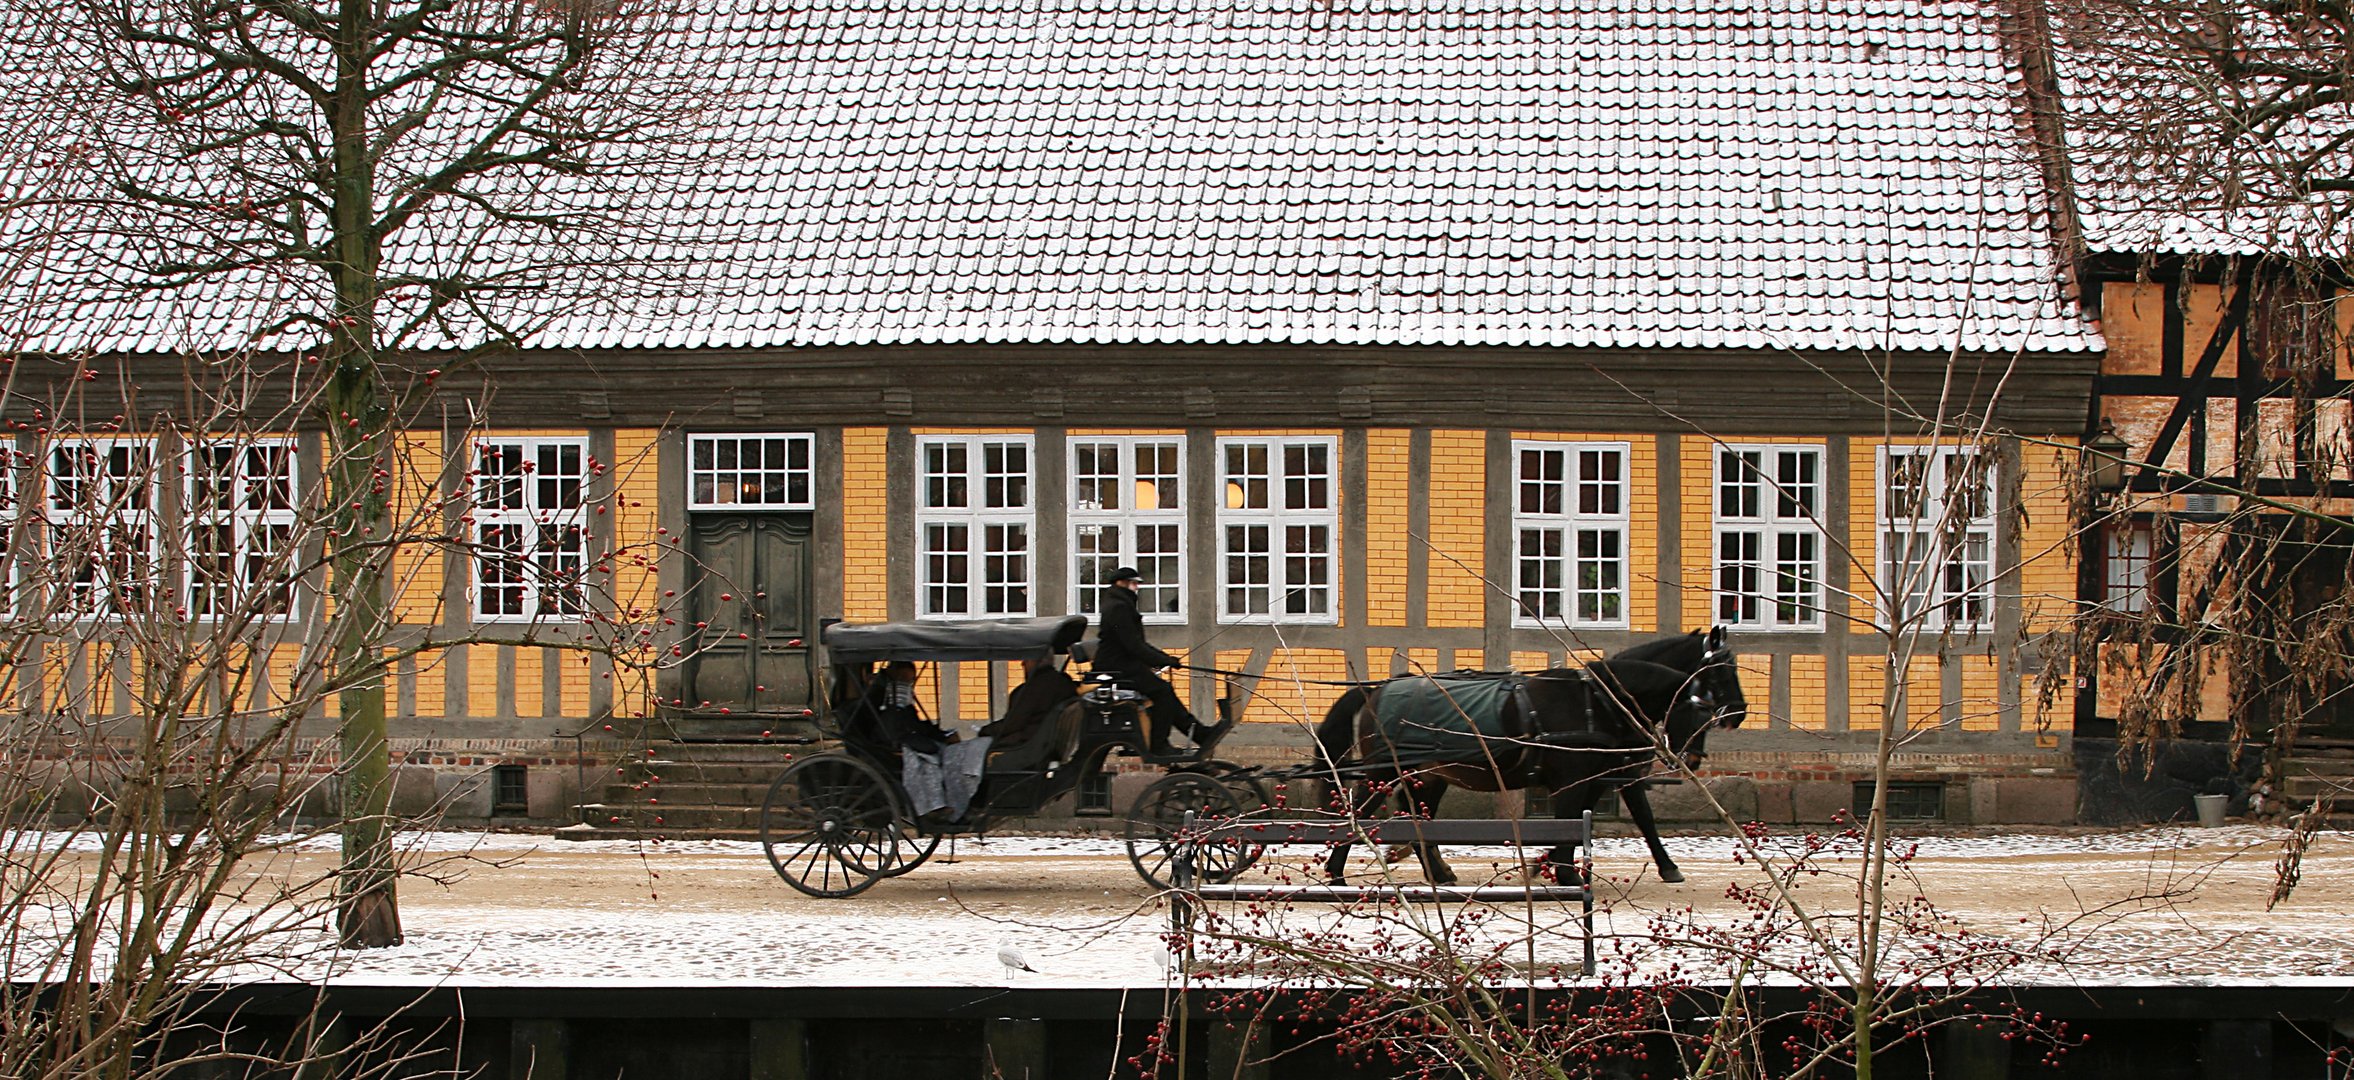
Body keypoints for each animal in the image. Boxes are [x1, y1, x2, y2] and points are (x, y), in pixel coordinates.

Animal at [1308, 625, 1751, 889]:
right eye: (1719, 674)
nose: (1739, 713)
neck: (1599, 701)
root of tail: (1376, 689)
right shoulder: (1590, 779)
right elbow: (1625, 818)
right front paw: (1565, 872)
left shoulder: (1602, 777)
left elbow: (1601, 822)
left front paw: (1548, 864)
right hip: (1385, 771)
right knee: (1363, 810)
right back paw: (1336, 870)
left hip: (1430, 775)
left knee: (1418, 819)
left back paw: (1437, 870)